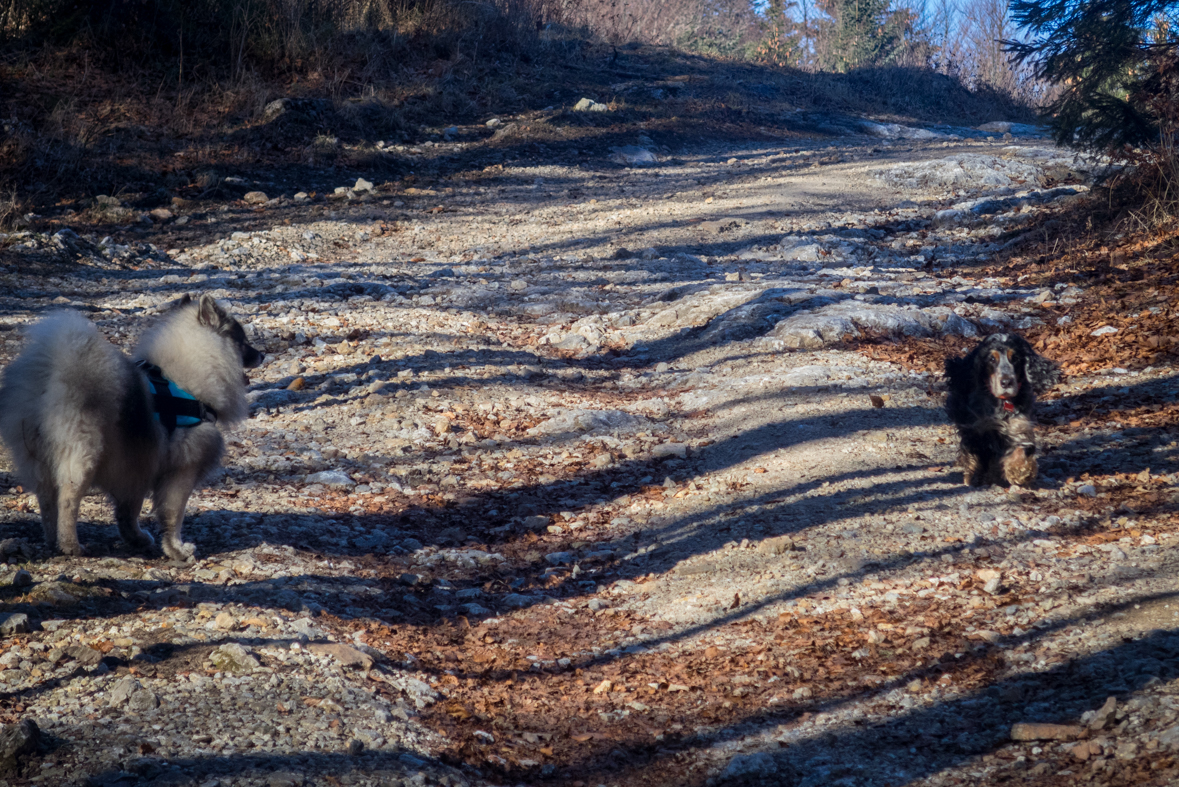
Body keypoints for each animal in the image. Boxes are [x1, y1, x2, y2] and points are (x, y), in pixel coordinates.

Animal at [0, 293, 262, 558]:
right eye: (242, 341)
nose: (262, 355)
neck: (186, 382)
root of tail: (50, 374)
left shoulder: (138, 466)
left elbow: (129, 511)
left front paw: (136, 538)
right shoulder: (182, 469)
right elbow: (173, 513)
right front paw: (176, 549)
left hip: (37, 458)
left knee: (47, 503)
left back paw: (53, 541)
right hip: (82, 455)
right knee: (67, 500)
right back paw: (70, 544)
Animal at [943, 332, 1065, 485]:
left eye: (1015, 358)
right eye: (991, 359)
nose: (1006, 382)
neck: (1001, 402)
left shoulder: (1018, 425)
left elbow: (1021, 447)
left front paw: (1020, 470)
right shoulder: (976, 428)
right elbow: (976, 453)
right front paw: (973, 477)